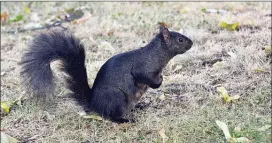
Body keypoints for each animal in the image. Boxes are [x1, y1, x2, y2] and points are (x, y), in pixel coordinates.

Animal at [20, 24, 192, 123]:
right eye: (180, 40)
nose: (191, 42)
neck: (157, 54)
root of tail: (94, 105)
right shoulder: (142, 68)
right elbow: (145, 76)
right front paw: (158, 82)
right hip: (116, 97)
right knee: (110, 116)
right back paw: (124, 121)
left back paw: (140, 106)